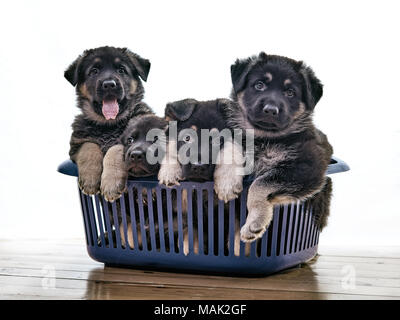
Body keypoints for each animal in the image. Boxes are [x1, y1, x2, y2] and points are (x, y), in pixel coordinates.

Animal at [64, 46, 153, 201]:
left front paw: (111, 184)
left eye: (121, 70)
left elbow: (115, 149)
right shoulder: (76, 144)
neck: (109, 125)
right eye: (94, 71)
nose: (109, 84)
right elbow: (89, 146)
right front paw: (90, 179)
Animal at [216, 52, 334, 242]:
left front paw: (255, 221)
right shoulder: (236, 134)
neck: (265, 137)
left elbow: (260, 183)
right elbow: (230, 146)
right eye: (259, 85)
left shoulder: (307, 168)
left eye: (290, 92)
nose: (271, 110)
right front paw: (227, 183)